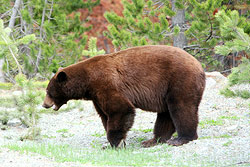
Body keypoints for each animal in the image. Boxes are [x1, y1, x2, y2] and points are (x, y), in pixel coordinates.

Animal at [43, 44, 206, 147]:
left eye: (48, 92)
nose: (44, 104)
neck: (87, 81)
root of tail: (199, 66)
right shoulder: (96, 96)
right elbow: (104, 116)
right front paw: (116, 141)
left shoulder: (106, 84)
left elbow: (120, 109)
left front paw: (114, 143)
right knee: (165, 114)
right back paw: (153, 140)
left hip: (180, 80)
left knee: (181, 107)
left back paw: (181, 138)